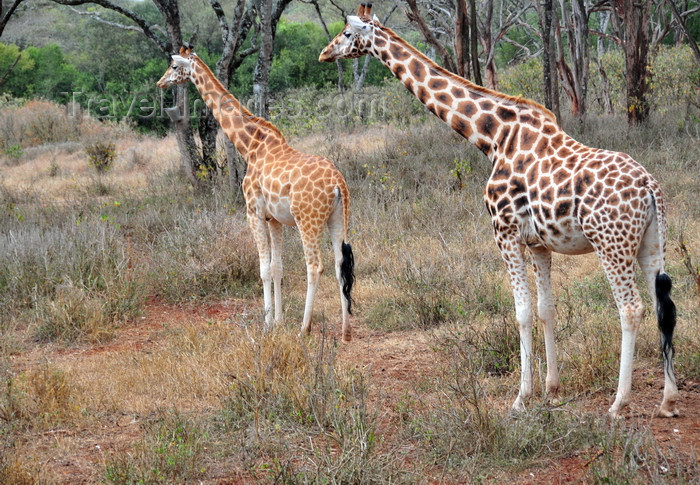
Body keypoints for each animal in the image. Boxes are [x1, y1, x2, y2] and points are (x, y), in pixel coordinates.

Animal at [159, 45, 356, 340]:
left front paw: (266, 324)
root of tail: (338, 182)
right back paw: (345, 331)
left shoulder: (253, 213)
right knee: (339, 264)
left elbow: (263, 270)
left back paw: (304, 329)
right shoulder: (274, 219)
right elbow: (277, 268)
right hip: (336, 218)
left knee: (314, 266)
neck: (250, 145)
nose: (160, 83)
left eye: (173, 66)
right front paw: (279, 321)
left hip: (308, 220)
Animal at [322, 2, 680, 416]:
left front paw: (521, 397)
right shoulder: (540, 244)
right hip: (651, 242)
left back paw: (619, 403)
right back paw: (669, 399)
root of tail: (650, 188)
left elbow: (521, 313)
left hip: (612, 244)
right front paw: (551, 388)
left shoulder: (504, 233)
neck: (491, 136)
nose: (325, 53)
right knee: (661, 305)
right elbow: (546, 308)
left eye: (348, 32)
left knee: (631, 308)